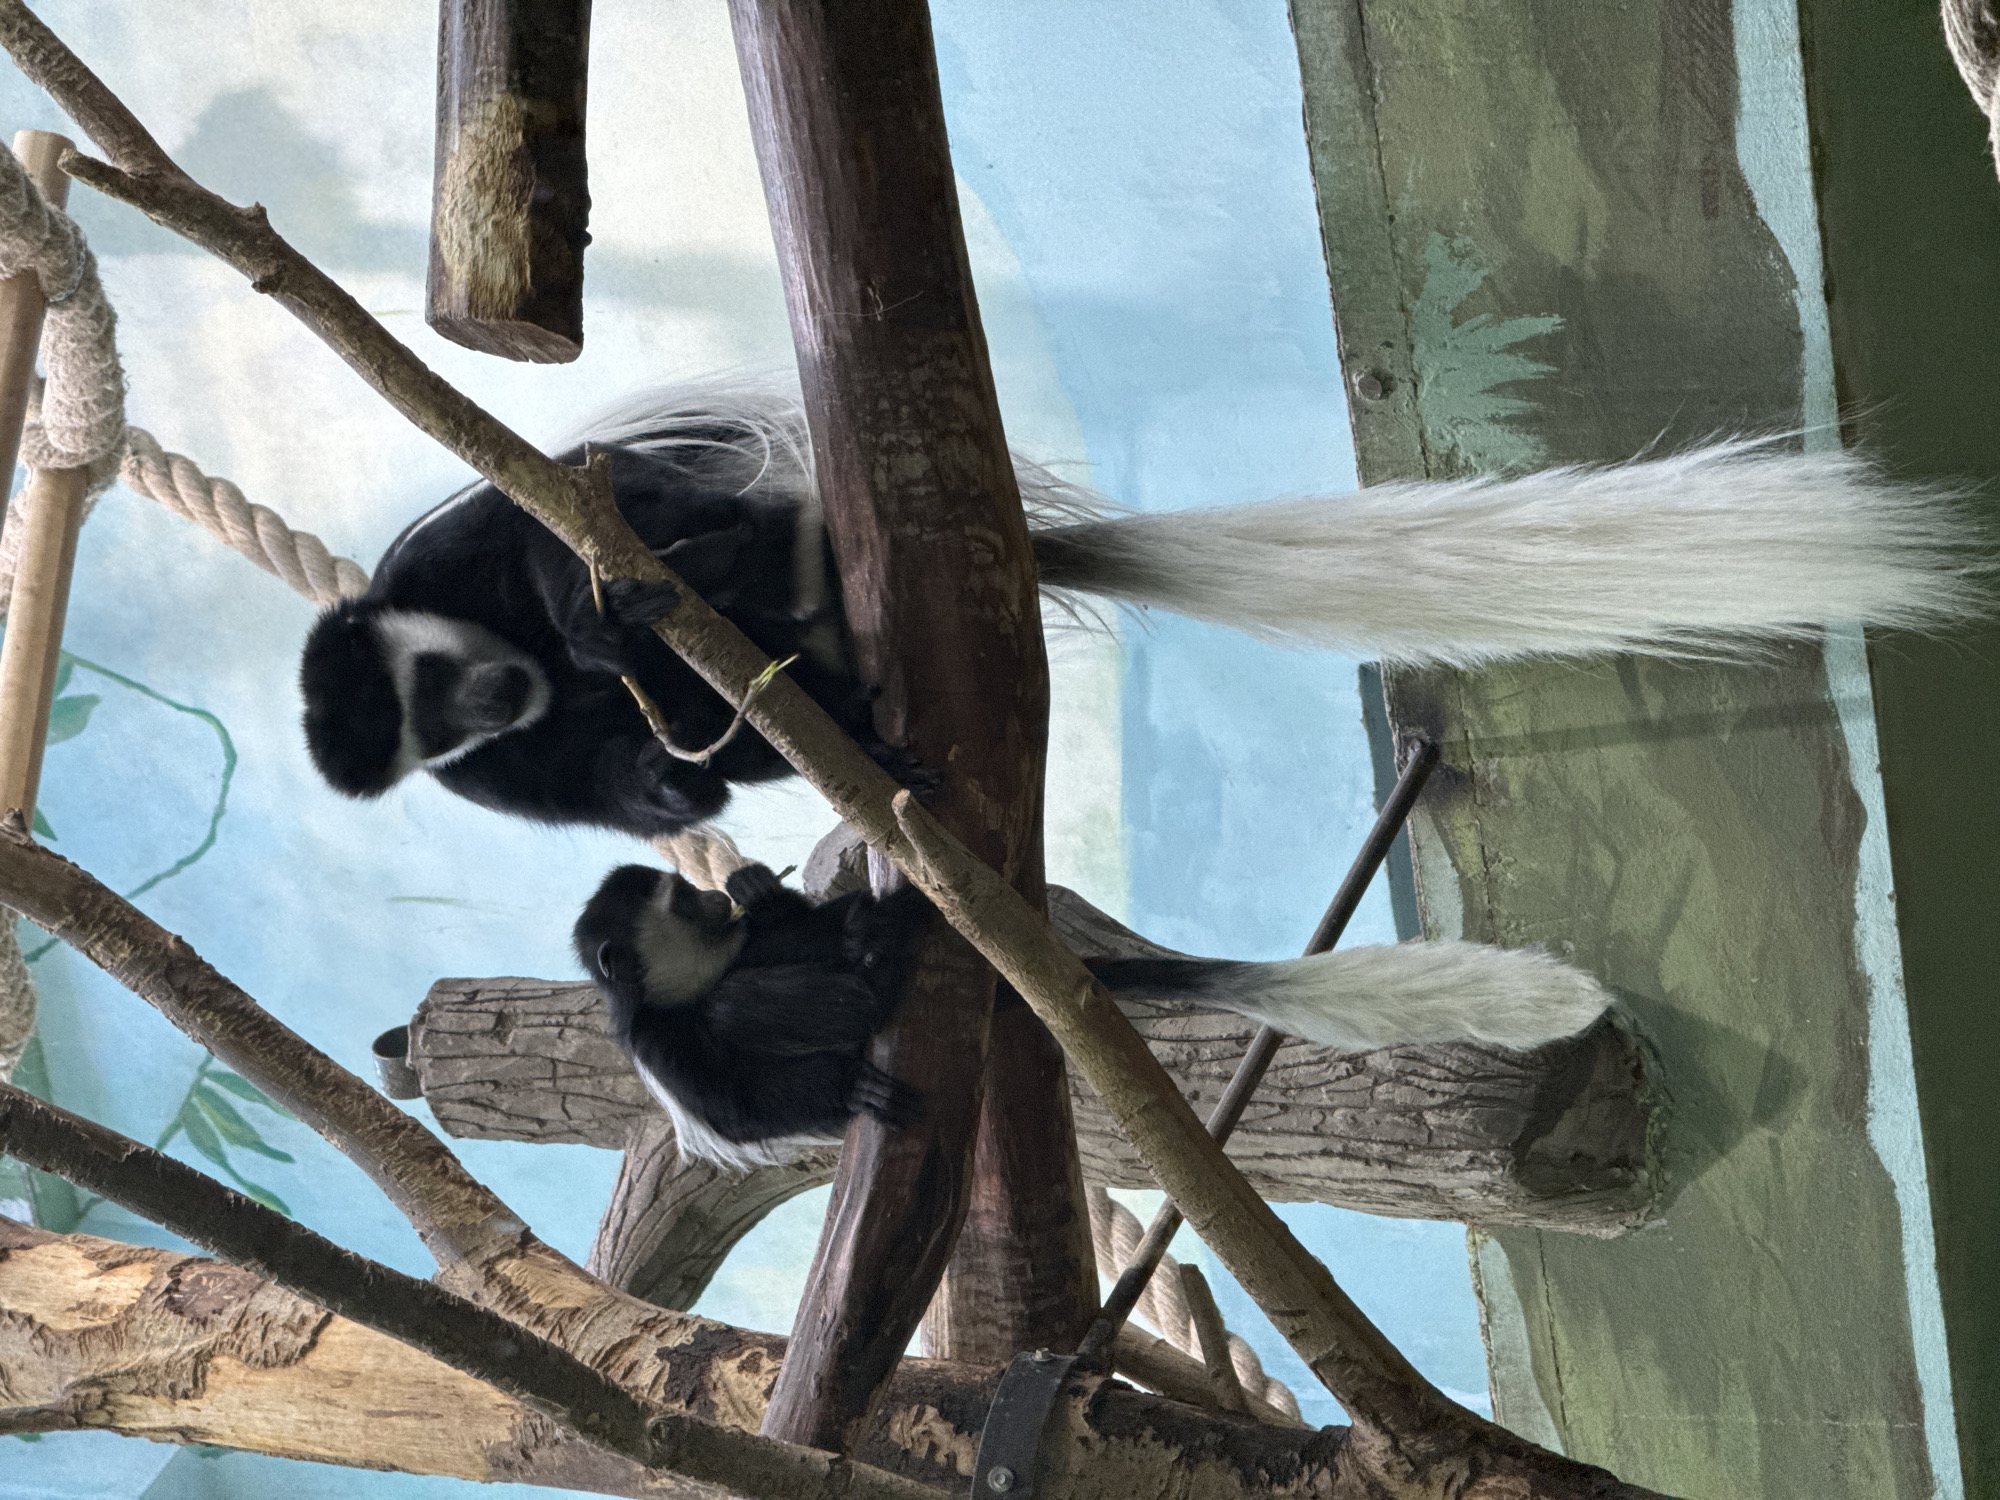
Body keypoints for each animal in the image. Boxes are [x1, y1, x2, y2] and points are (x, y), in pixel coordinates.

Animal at [303, 382, 1985, 838]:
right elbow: (634, 788)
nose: (489, 698)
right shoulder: (506, 774)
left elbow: (531, 526)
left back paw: (695, 585)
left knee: (664, 505)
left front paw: (596, 615)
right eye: (432, 717)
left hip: (751, 512)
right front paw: (663, 774)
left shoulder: (449, 561)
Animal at [573, 858, 1614, 1169]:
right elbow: (742, 1108)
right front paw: (846, 1089)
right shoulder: (659, 1046)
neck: (685, 980)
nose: (712, 898)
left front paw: (766, 885)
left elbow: (792, 922)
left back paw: (878, 938)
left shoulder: (758, 938)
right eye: (677, 903)